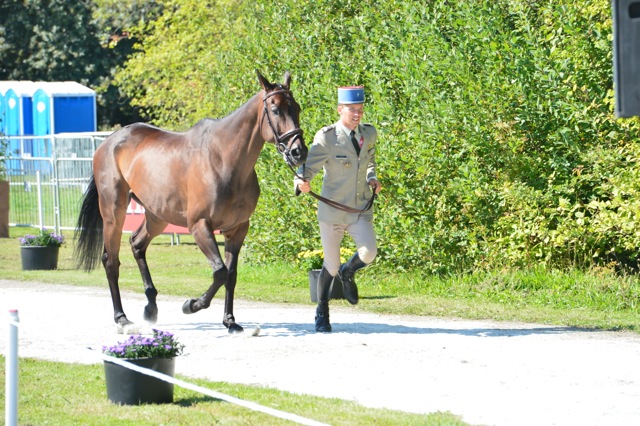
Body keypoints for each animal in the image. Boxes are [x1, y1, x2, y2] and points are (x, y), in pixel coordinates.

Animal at [72, 70, 308, 332]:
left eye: (296, 107)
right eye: (275, 109)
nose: (298, 152)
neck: (224, 160)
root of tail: (108, 142)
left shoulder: (237, 229)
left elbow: (231, 274)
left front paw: (230, 321)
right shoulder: (199, 225)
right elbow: (220, 271)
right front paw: (192, 304)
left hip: (157, 215)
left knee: (137, 244)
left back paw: (150, 307)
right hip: (114, 212)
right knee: (111, 261)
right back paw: (121, 317)